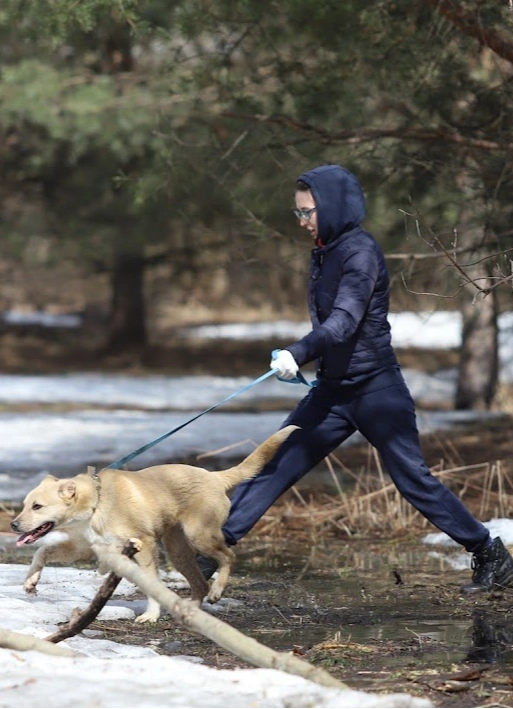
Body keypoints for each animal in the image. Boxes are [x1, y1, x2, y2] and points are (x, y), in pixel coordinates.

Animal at [11, 426, 296, 620]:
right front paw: (30, 581)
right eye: (25, 504)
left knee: (227, 556)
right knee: (199, 582)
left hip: (200, 536)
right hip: (178, 550)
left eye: (37, 506)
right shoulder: (82, 547)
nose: (13, 525)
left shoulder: (144, 545)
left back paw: (216, 591)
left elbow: (151, 583)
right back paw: (191, 610)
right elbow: (42, 550)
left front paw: (150, 615)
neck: (95, 503)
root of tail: (215, 477)